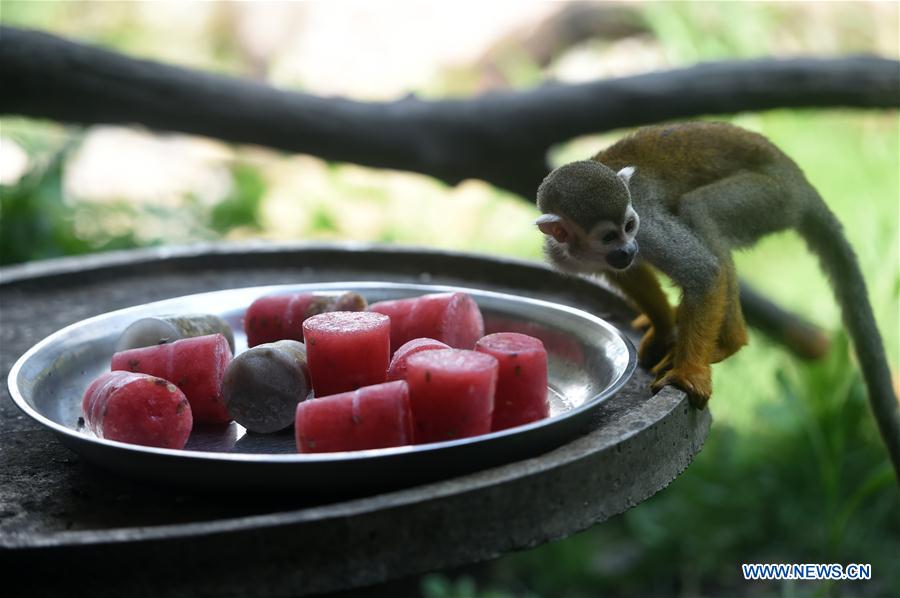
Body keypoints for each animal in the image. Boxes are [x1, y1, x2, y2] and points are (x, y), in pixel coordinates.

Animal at [536, 122, 900, 478]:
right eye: (609, 237)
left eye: (629, 225)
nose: (628, 248)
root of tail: (800, 180)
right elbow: (628, 272)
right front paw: (663, 327)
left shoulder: (647, 227)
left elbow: (704, 272)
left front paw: (688, 372)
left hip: (772, 198)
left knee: (699, 212)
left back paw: (730, 340)